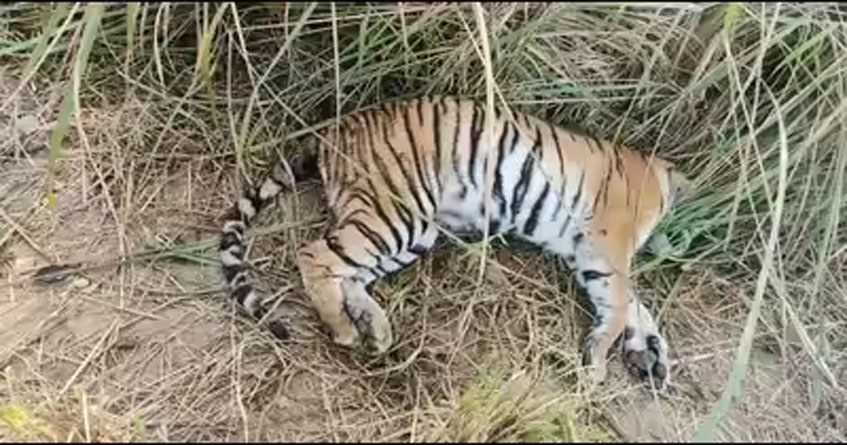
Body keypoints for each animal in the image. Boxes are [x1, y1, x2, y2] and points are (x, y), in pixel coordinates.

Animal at [218, 95, 689, 390]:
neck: (660, 180)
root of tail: (333, 131)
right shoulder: (605, 244)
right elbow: (622, 302)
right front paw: (600, 363)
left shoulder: (584, 252)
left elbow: (635, 304)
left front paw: (651, 356)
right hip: (396, 212)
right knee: (316, 255)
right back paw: (344, 329)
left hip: (413, 230)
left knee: (351, 272)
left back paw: (376, 328)